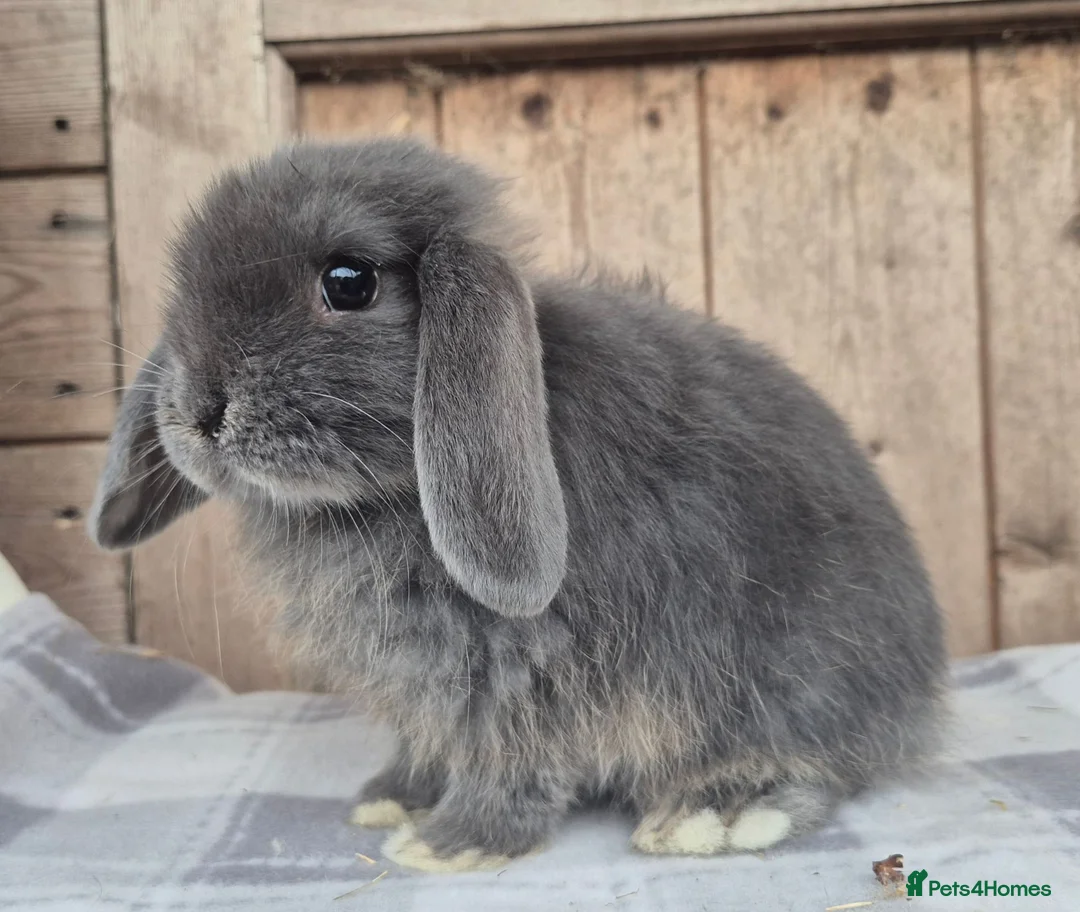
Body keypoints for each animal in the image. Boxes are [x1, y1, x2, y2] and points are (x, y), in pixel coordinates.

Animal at [89, 137, 946, 872]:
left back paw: (716, 812)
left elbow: (510, 759)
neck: (383, 496)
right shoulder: (438, 686)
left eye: (349, 281)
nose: (199, 410)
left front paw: (451, 843)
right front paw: (392, 798)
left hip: (782, 678)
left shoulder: (520, 674)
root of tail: (922, 686)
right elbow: (430, 743)